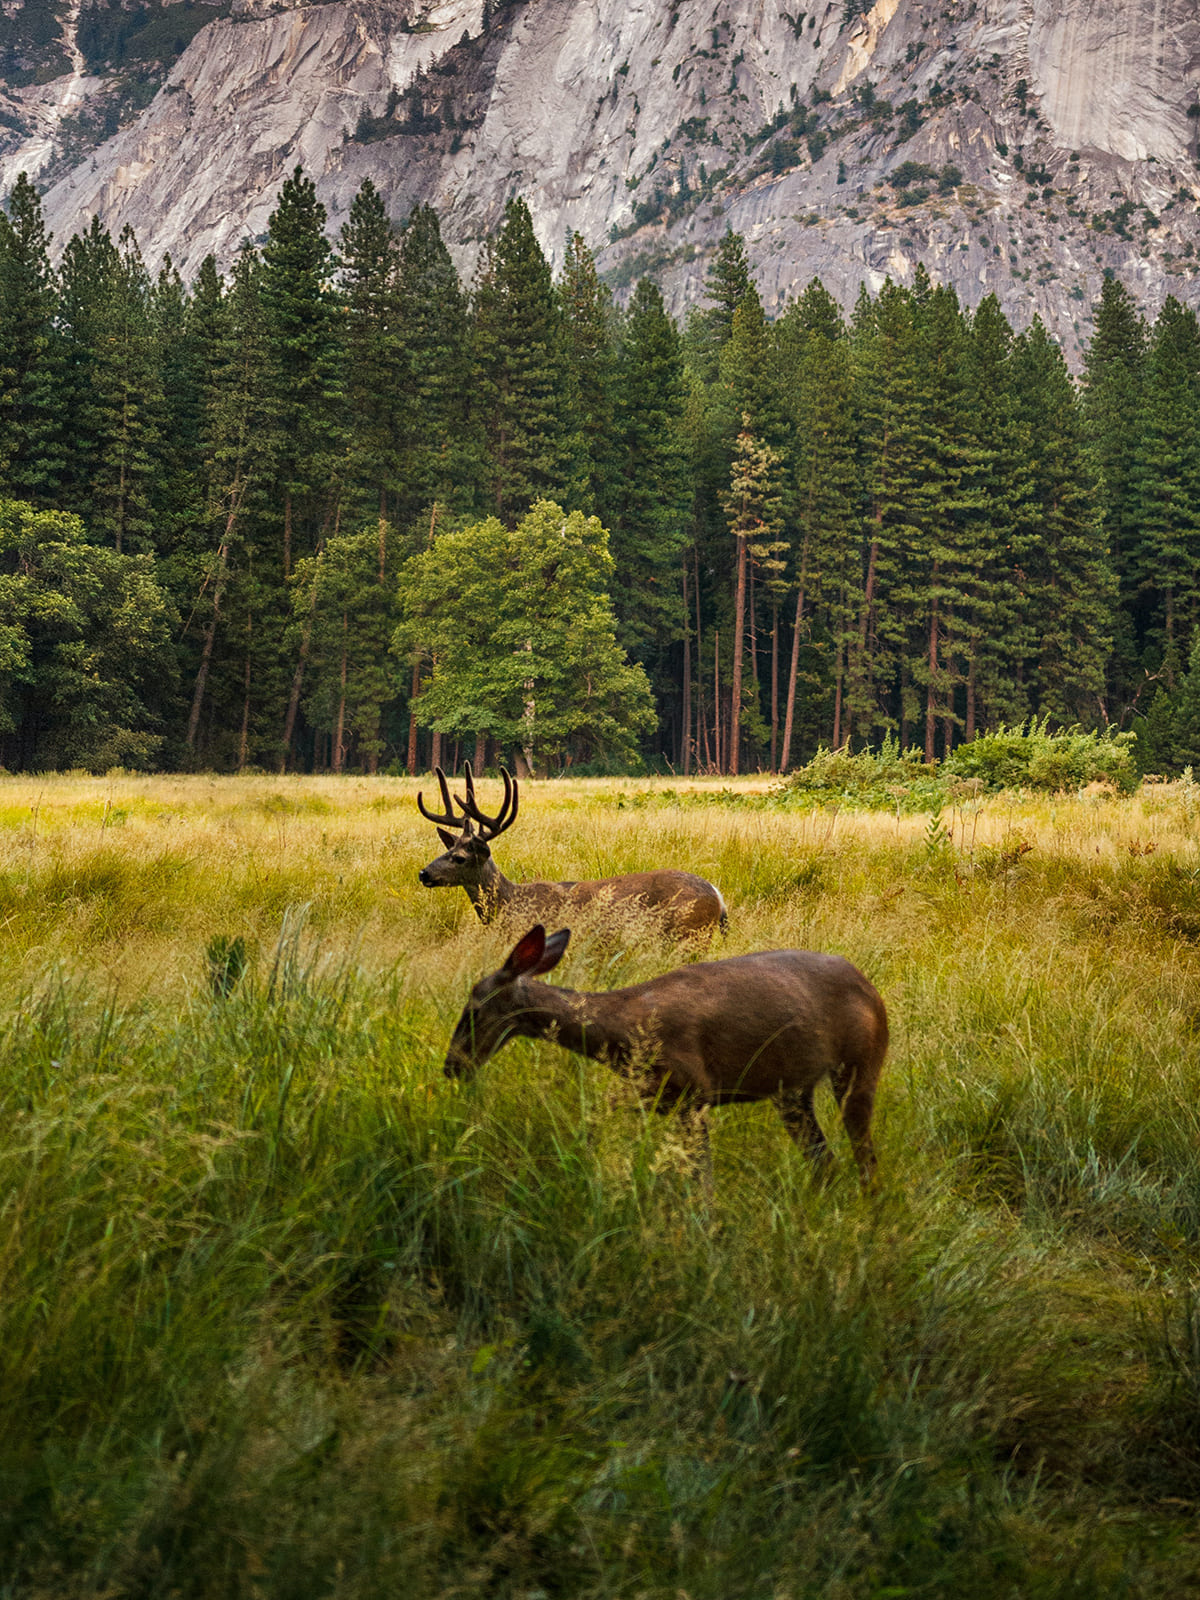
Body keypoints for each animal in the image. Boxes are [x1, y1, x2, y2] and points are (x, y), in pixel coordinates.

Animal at [416, 762, 727, 938]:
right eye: (446, 850)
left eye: (459, 858)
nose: (423, 873)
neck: (510, 903)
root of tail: (718, 895)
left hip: (691, 933)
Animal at [444, 923, 889, 1187]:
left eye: (473, 1010)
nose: (452, 1067)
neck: (623, 1031)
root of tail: (871, 990)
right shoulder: (648, 1093)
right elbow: (594, 1127)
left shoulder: (694, 1092)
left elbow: (701, 1179)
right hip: (792, 1092)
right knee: (825, 1160)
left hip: (861, 1064)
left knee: (865, 1159)